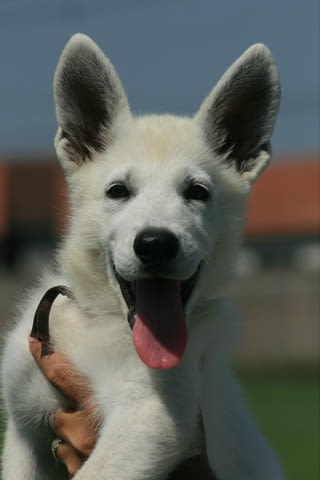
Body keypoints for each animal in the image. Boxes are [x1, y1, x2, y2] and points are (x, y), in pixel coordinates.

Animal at [0, 34, 284, 480]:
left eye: (197, 192)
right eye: (118, 190)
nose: (155, 244)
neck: (104, 322)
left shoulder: (153, 416)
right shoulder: (24, 430)